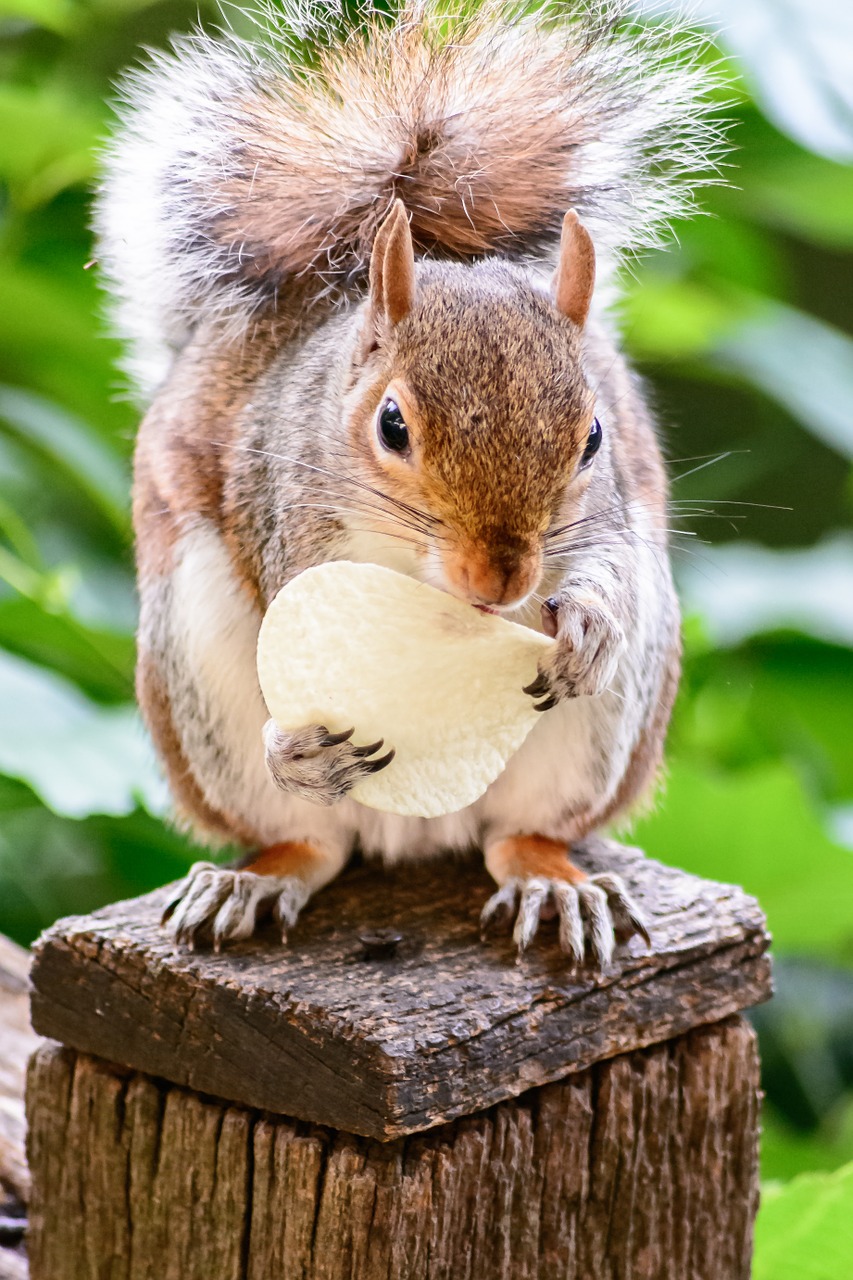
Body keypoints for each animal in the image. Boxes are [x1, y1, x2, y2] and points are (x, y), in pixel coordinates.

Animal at [94, 0, 722, 962]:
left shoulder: (612, 512)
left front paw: (587, 622)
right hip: (196, 670)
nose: (499, 580)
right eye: (391, 426)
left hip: (596, 740)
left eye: (593, 437)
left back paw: (551, 881)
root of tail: (414, 832)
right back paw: (257, 869)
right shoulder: (286, 513)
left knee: (519, 833)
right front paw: (294, 741)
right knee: (308, 839)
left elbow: (608, 562)